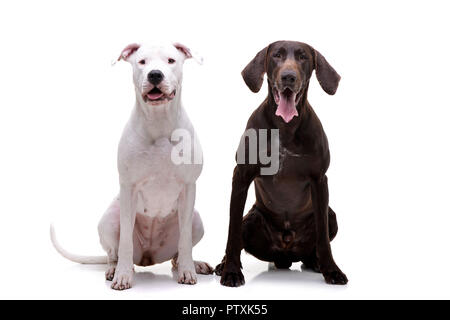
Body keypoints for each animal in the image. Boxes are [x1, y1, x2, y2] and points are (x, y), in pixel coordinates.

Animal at [50, 40, 212, 290]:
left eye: (171, 60)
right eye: (142, 62)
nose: (155, 74)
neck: (159, 122)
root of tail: (148, 257)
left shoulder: (188, 187)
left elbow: (184, 240)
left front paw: (188, 270)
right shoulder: (128, 187)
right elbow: (125, 239)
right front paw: (123, 276)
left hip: (197, 220)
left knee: (176, 254)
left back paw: (194, 264)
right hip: (108, 220)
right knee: (113, 252)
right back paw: (113, 269)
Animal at [215, 40, 348, 288]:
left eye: (303, 57)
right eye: (277, 55)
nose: (288, 77)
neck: (285, 128)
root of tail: (284, 256)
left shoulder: (319, 179)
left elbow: (323, 239)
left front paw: (332, 270)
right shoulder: (241, 175)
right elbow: (232, 232)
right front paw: (231, 271)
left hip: (332, 216)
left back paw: (315, 263)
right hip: (253, 219)